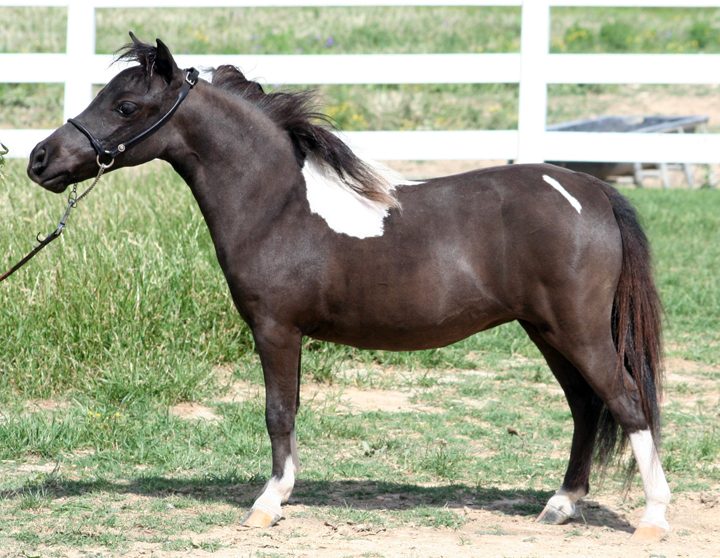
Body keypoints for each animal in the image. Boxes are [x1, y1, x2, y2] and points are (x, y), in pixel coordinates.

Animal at [27, 35, 670, 541]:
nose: (39, 159)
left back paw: (653, 518)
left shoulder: (276, 330)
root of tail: (591, 191)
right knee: (586, 407)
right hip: (547, 331)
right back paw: (560, 505)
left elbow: (277, 412)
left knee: (627, 402)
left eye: (126, 105)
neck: (278, 204)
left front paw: (267, 504)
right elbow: (289, 410)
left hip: (578, 330)